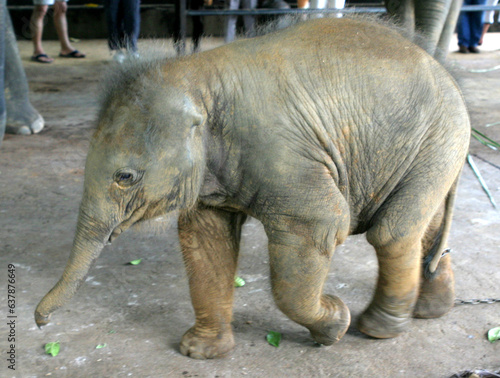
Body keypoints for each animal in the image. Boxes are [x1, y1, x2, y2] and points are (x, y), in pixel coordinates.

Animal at [34, 17, 468, 358]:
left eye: (125, 177)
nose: (39, 321)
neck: (196, 75)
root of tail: (445, 69)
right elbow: (206, 240)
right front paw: (199, 351)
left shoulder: (285, 157)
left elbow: (320, 226)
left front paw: (335, 323)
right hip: (431, 153)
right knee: (423, 224)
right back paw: (430, 310)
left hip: (437, 139)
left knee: (392, 233)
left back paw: (376, 328)